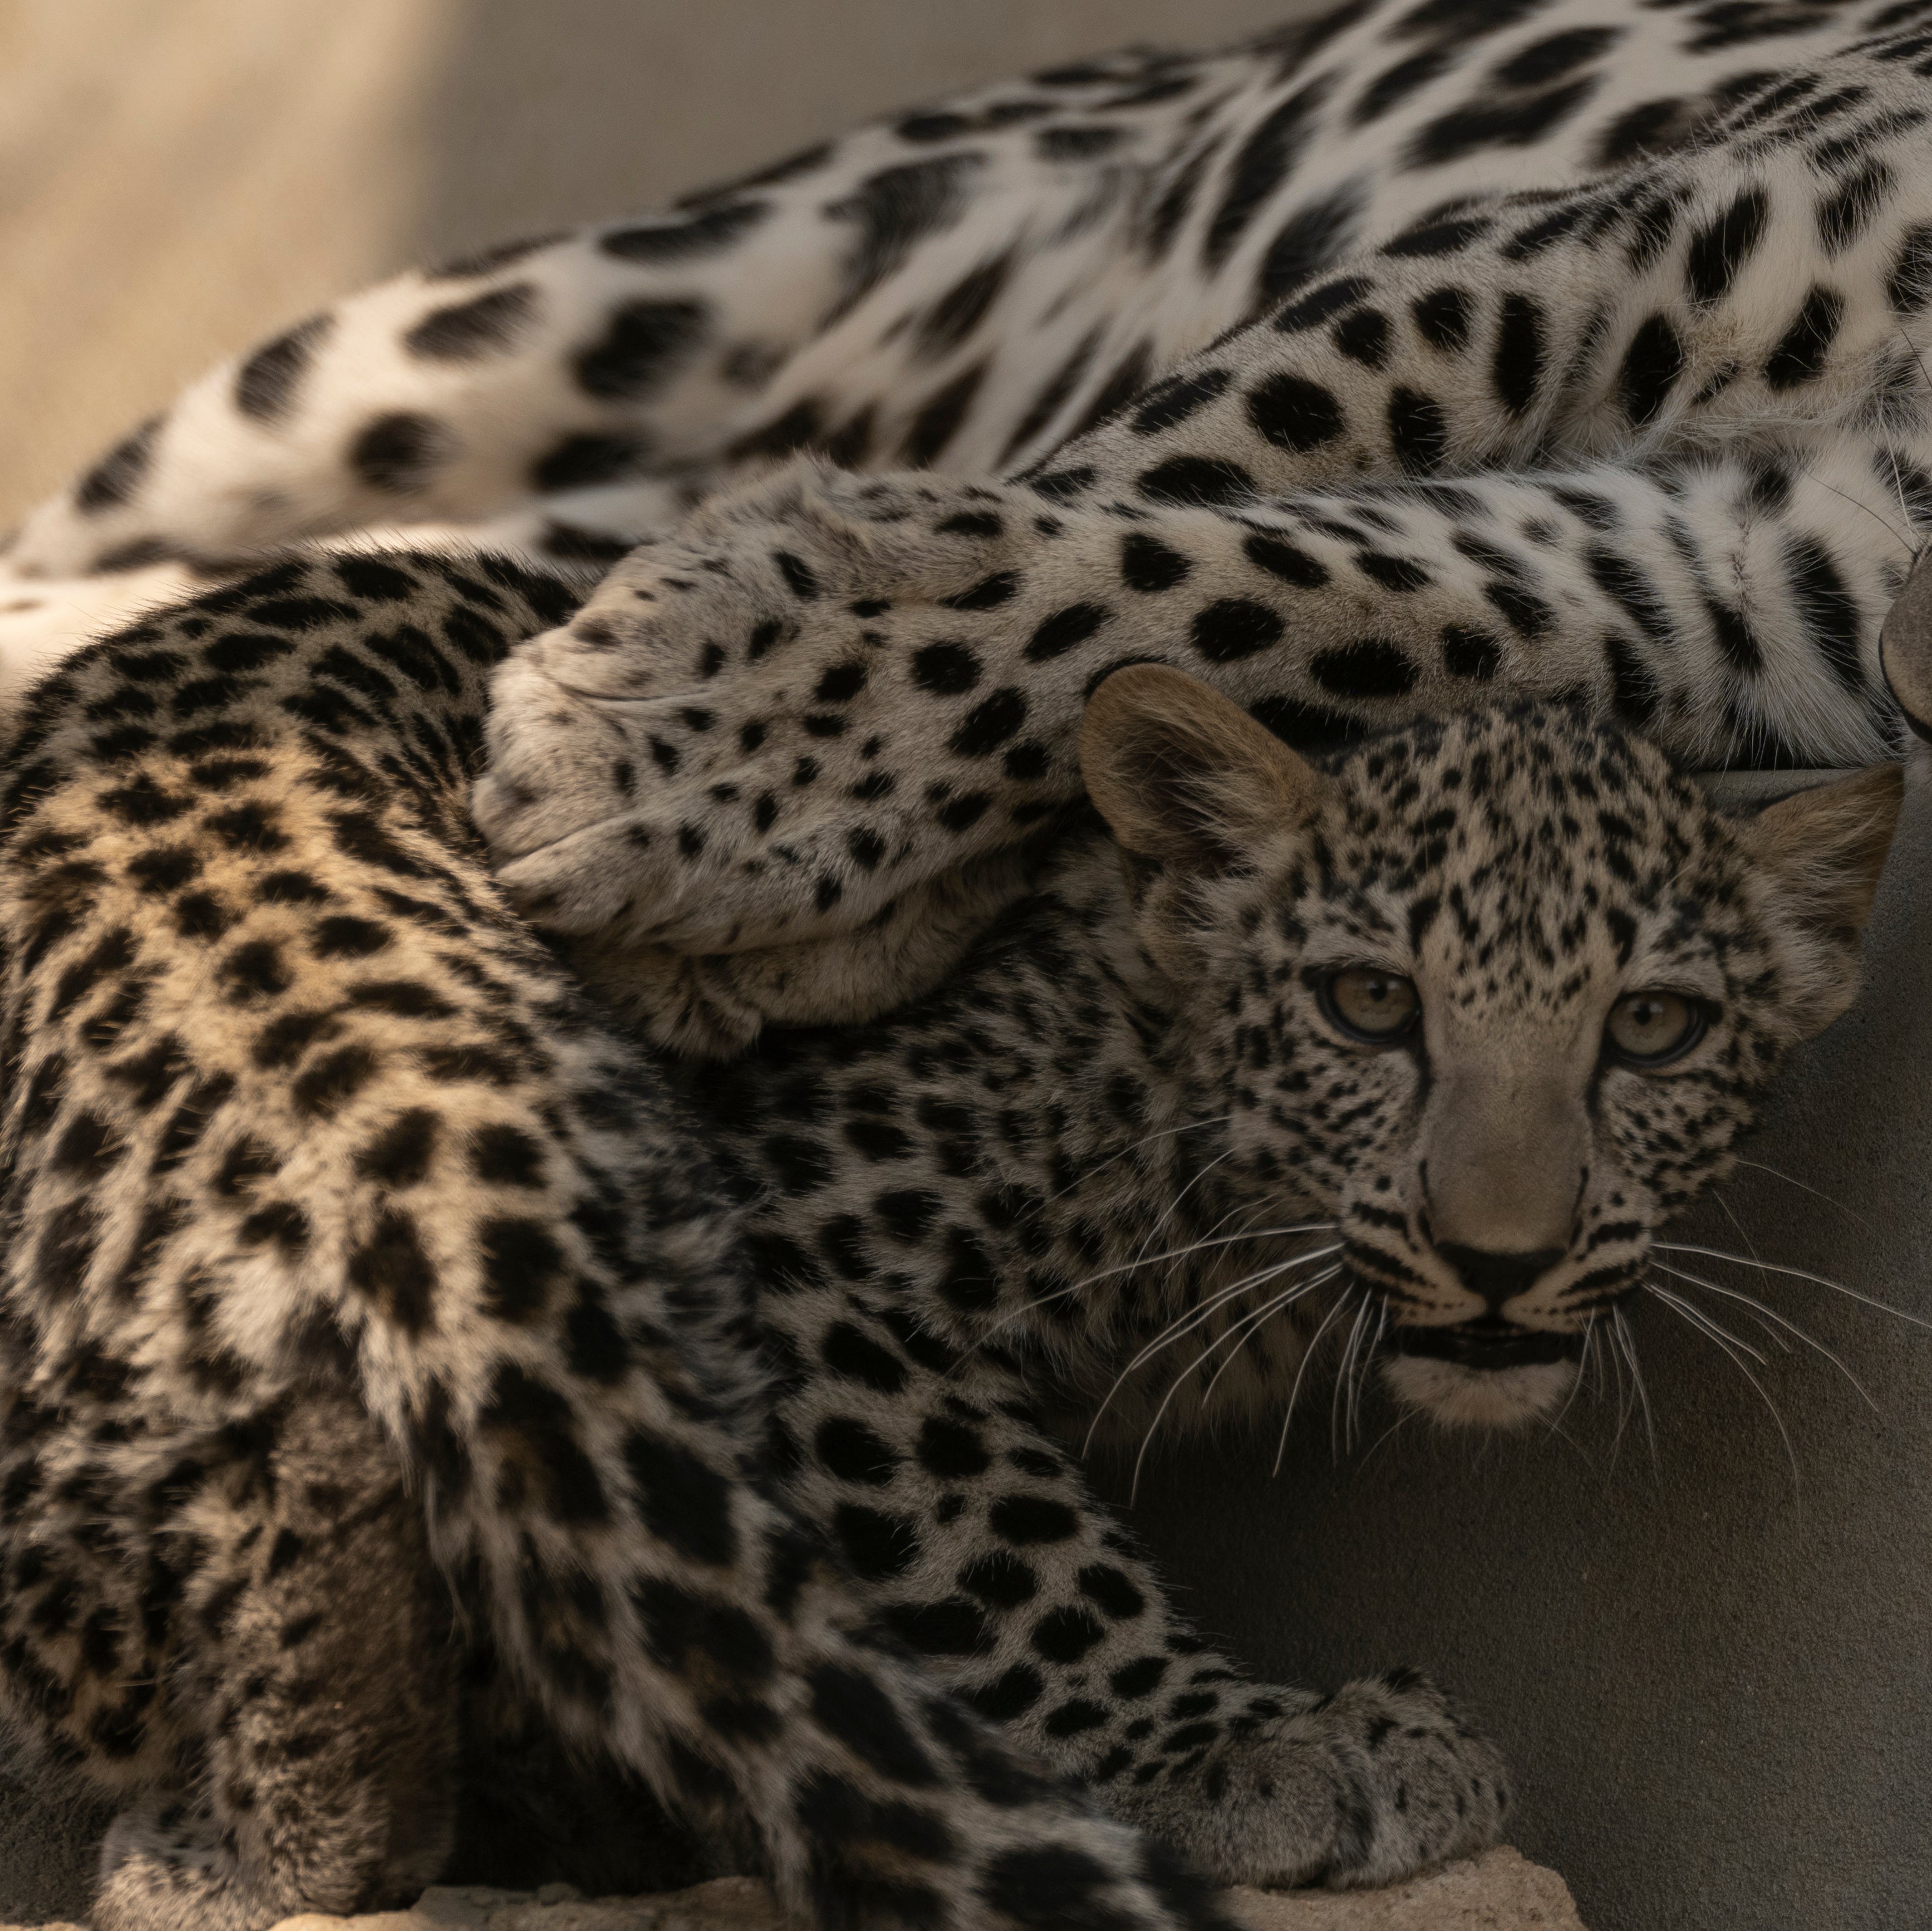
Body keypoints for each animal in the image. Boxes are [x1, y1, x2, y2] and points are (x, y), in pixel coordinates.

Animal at [0, 535, 1899, 1928]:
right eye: (1369, 1003)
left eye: (1650, 1029)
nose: (1501, 1251)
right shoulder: (818, 1244)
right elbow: (996, 1544)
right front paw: (1242, 1746)